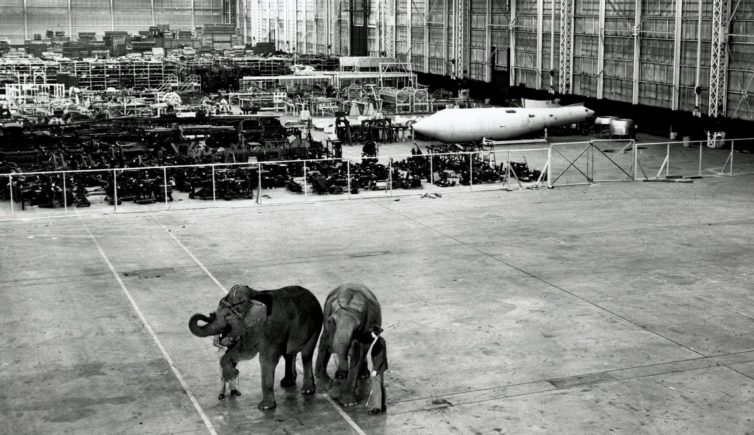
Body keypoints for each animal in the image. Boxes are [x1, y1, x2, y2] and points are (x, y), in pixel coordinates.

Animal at [187, 284, 320, 410]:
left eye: (228, 316)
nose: (210, 314)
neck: (254, 295)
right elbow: (243, 350)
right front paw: (232, 374)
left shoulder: (274, 328)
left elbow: (265, 359)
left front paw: (265, 407)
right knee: (288, 354)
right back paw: (288, 383)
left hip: (315, 325)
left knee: (306, 354)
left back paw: (307, 390)